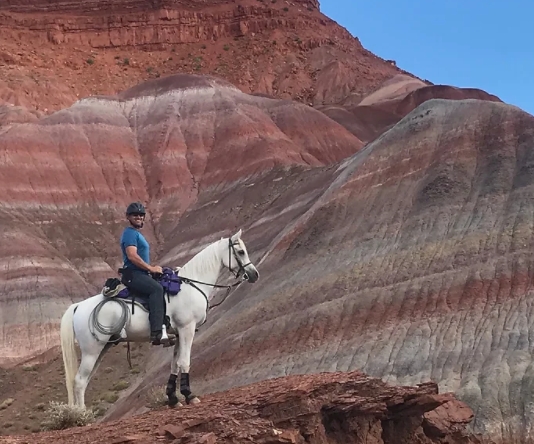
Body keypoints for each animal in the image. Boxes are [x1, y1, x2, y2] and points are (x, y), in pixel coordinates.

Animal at [60, 231, 260, 408]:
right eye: (240, 251)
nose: (254, 274)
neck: (191, 285)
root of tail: (78, 305)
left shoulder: (178, 333)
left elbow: (175, 364)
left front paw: (173, 398)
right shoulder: (187, 329)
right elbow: (185, 361)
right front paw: (189, 395)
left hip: (102, 348)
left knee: (84, 381)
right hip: (92, 350)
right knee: (79, 381)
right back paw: (82, 417)